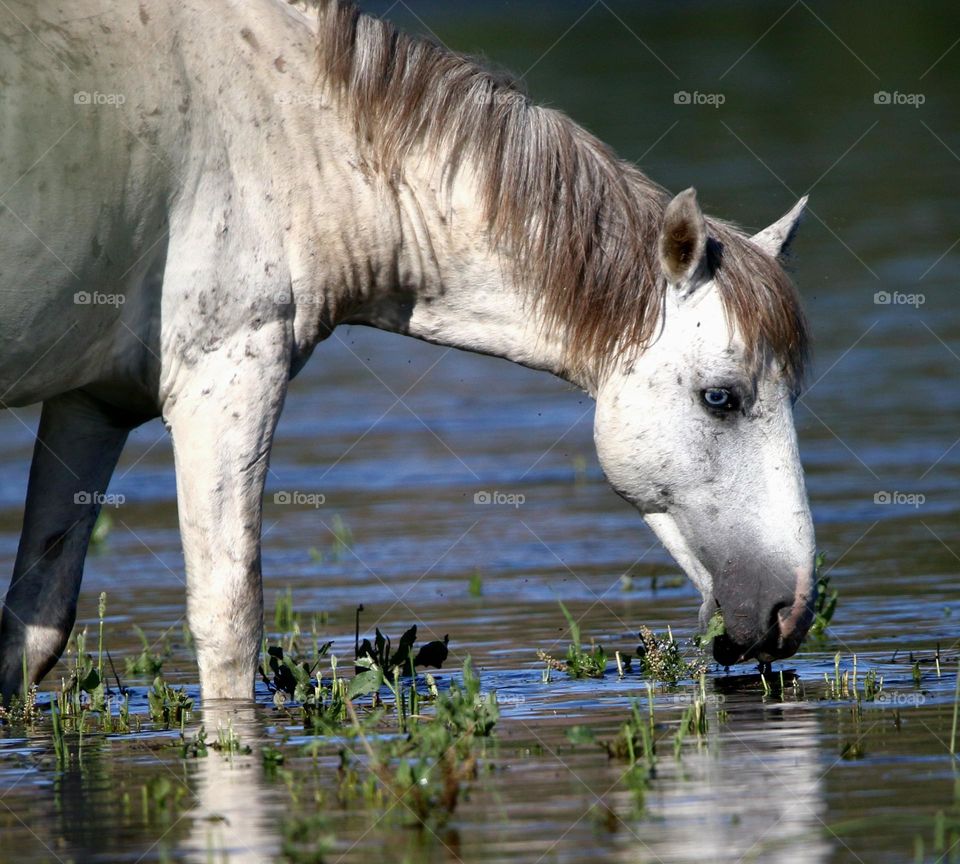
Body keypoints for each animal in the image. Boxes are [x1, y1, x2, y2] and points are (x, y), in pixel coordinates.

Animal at [0, 0, 815, 702]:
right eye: (720, 398)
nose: (793, 611)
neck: (293, 130)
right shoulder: (225, 380)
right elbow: (228, 626)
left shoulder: (91, 404)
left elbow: (32, 630)